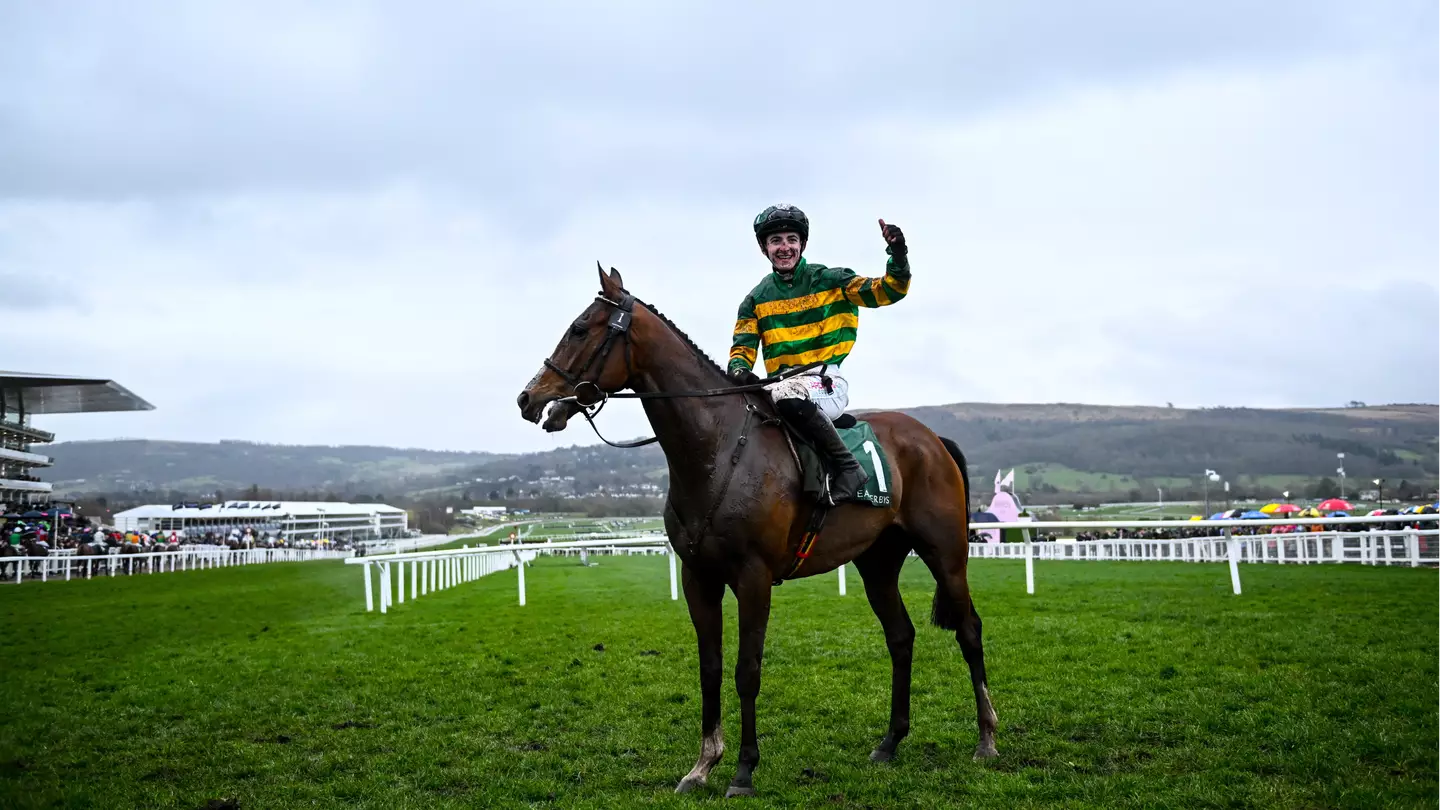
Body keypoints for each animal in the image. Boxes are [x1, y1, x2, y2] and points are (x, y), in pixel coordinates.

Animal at [518, 266, 1002, 795]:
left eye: (580, 329)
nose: (529, 398)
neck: (716, 449)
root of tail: (932, 438)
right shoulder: (698, 577)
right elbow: (710, 668)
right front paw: (703, 764)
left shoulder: (754, 578)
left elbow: (746, 669)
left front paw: (744, 770)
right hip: (877, 561)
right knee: (901, 636)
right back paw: (890, 743)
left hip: (945, 551)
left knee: (969, 629)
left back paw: (986, 738)